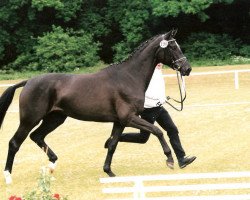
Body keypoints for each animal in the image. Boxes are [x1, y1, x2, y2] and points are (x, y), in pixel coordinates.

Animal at [0, 28, 191, 184]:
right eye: (173, 47)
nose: (187, 69)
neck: (128, 77)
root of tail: (28, 82)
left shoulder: (120, 122)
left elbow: (113, 144)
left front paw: (109, 172)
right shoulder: (128, 118)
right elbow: (158, 131)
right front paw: (170, 160)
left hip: (55, 118)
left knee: (37, 136)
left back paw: (52, 165)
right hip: (29, 119)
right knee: (15, 142)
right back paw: (8, 176)